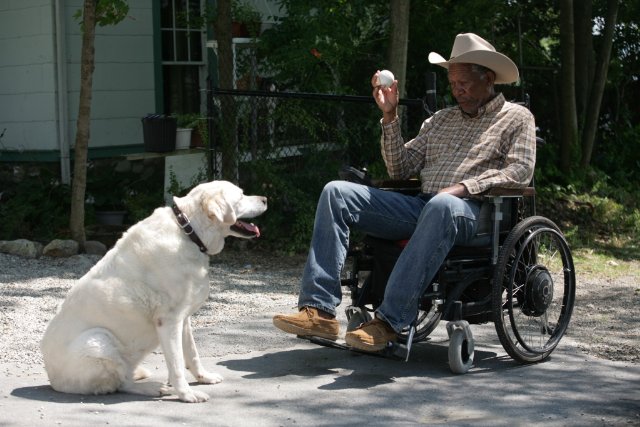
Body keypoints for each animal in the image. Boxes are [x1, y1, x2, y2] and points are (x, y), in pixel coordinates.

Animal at [41, 182, 268, 402]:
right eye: (241, 195)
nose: (265, 198)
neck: (188, 231)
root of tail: (53, 380)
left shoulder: (183, 318)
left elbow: (192, 353)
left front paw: (204, 377)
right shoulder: (168, 320)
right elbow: (176, 364)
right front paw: (186, 394)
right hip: (98, 340)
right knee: (121, 384)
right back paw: (153, 388)